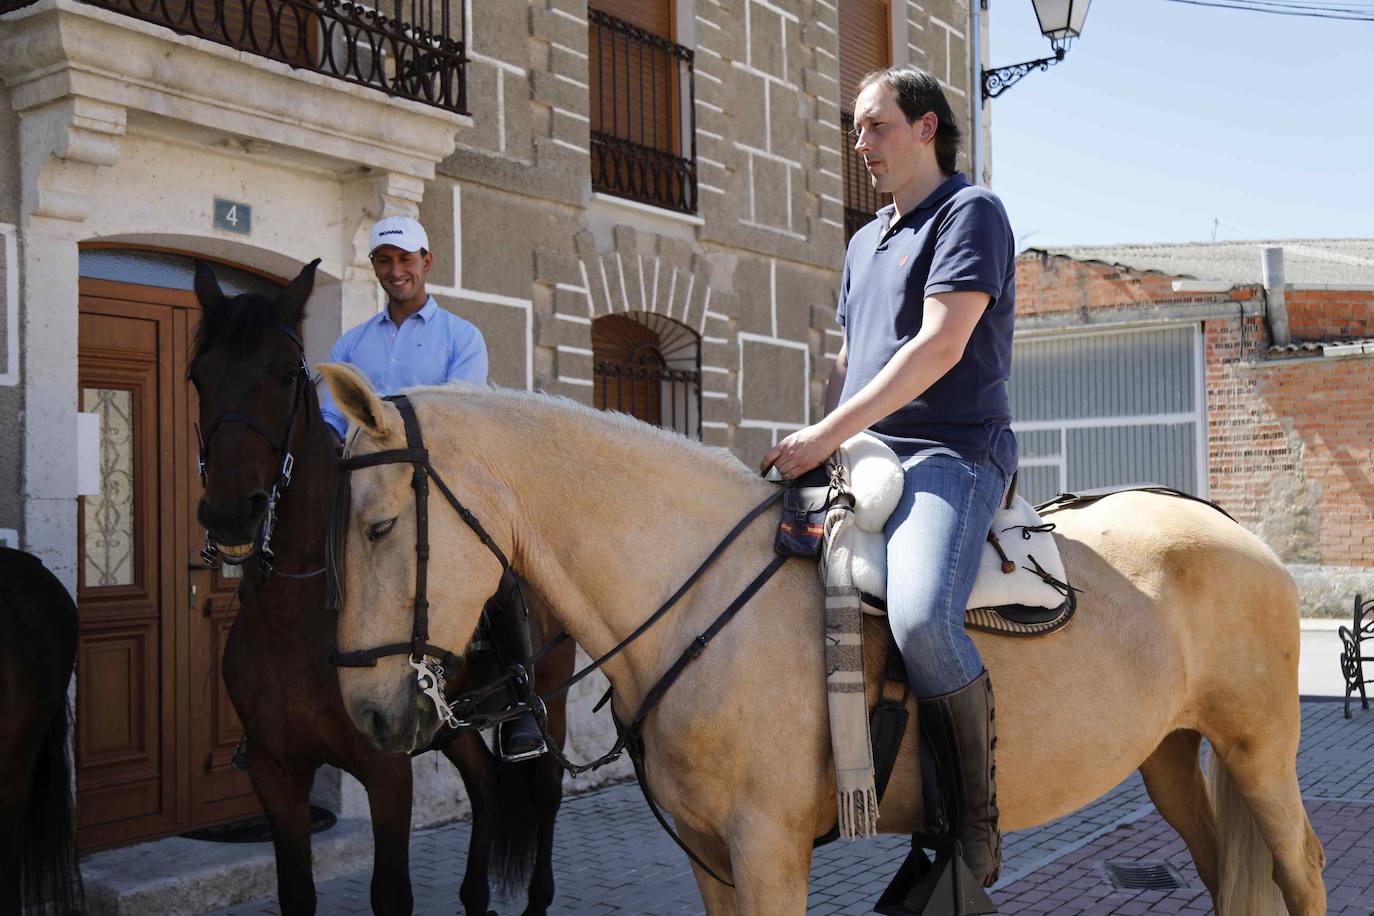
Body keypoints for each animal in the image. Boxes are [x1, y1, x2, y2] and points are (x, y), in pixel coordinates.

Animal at [190, 259, 571, 916]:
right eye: (198, 376)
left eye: (286, 373)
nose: (232, 515)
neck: (296, 615)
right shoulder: (274, 770)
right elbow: (296, 893)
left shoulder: (385, 770)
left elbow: (390, 893)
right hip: (450, 728)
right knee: (486, 787)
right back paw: (474, 896)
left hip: (553, 697)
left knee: (545, 791)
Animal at [316, 365, 1324, 916]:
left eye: (378, 526)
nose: (366, 712)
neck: (699, 600)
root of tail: (1231, 527)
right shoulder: (710, 859)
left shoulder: (768, 852)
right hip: (1172, 753)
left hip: (1260, 750)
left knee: (1302, 870)